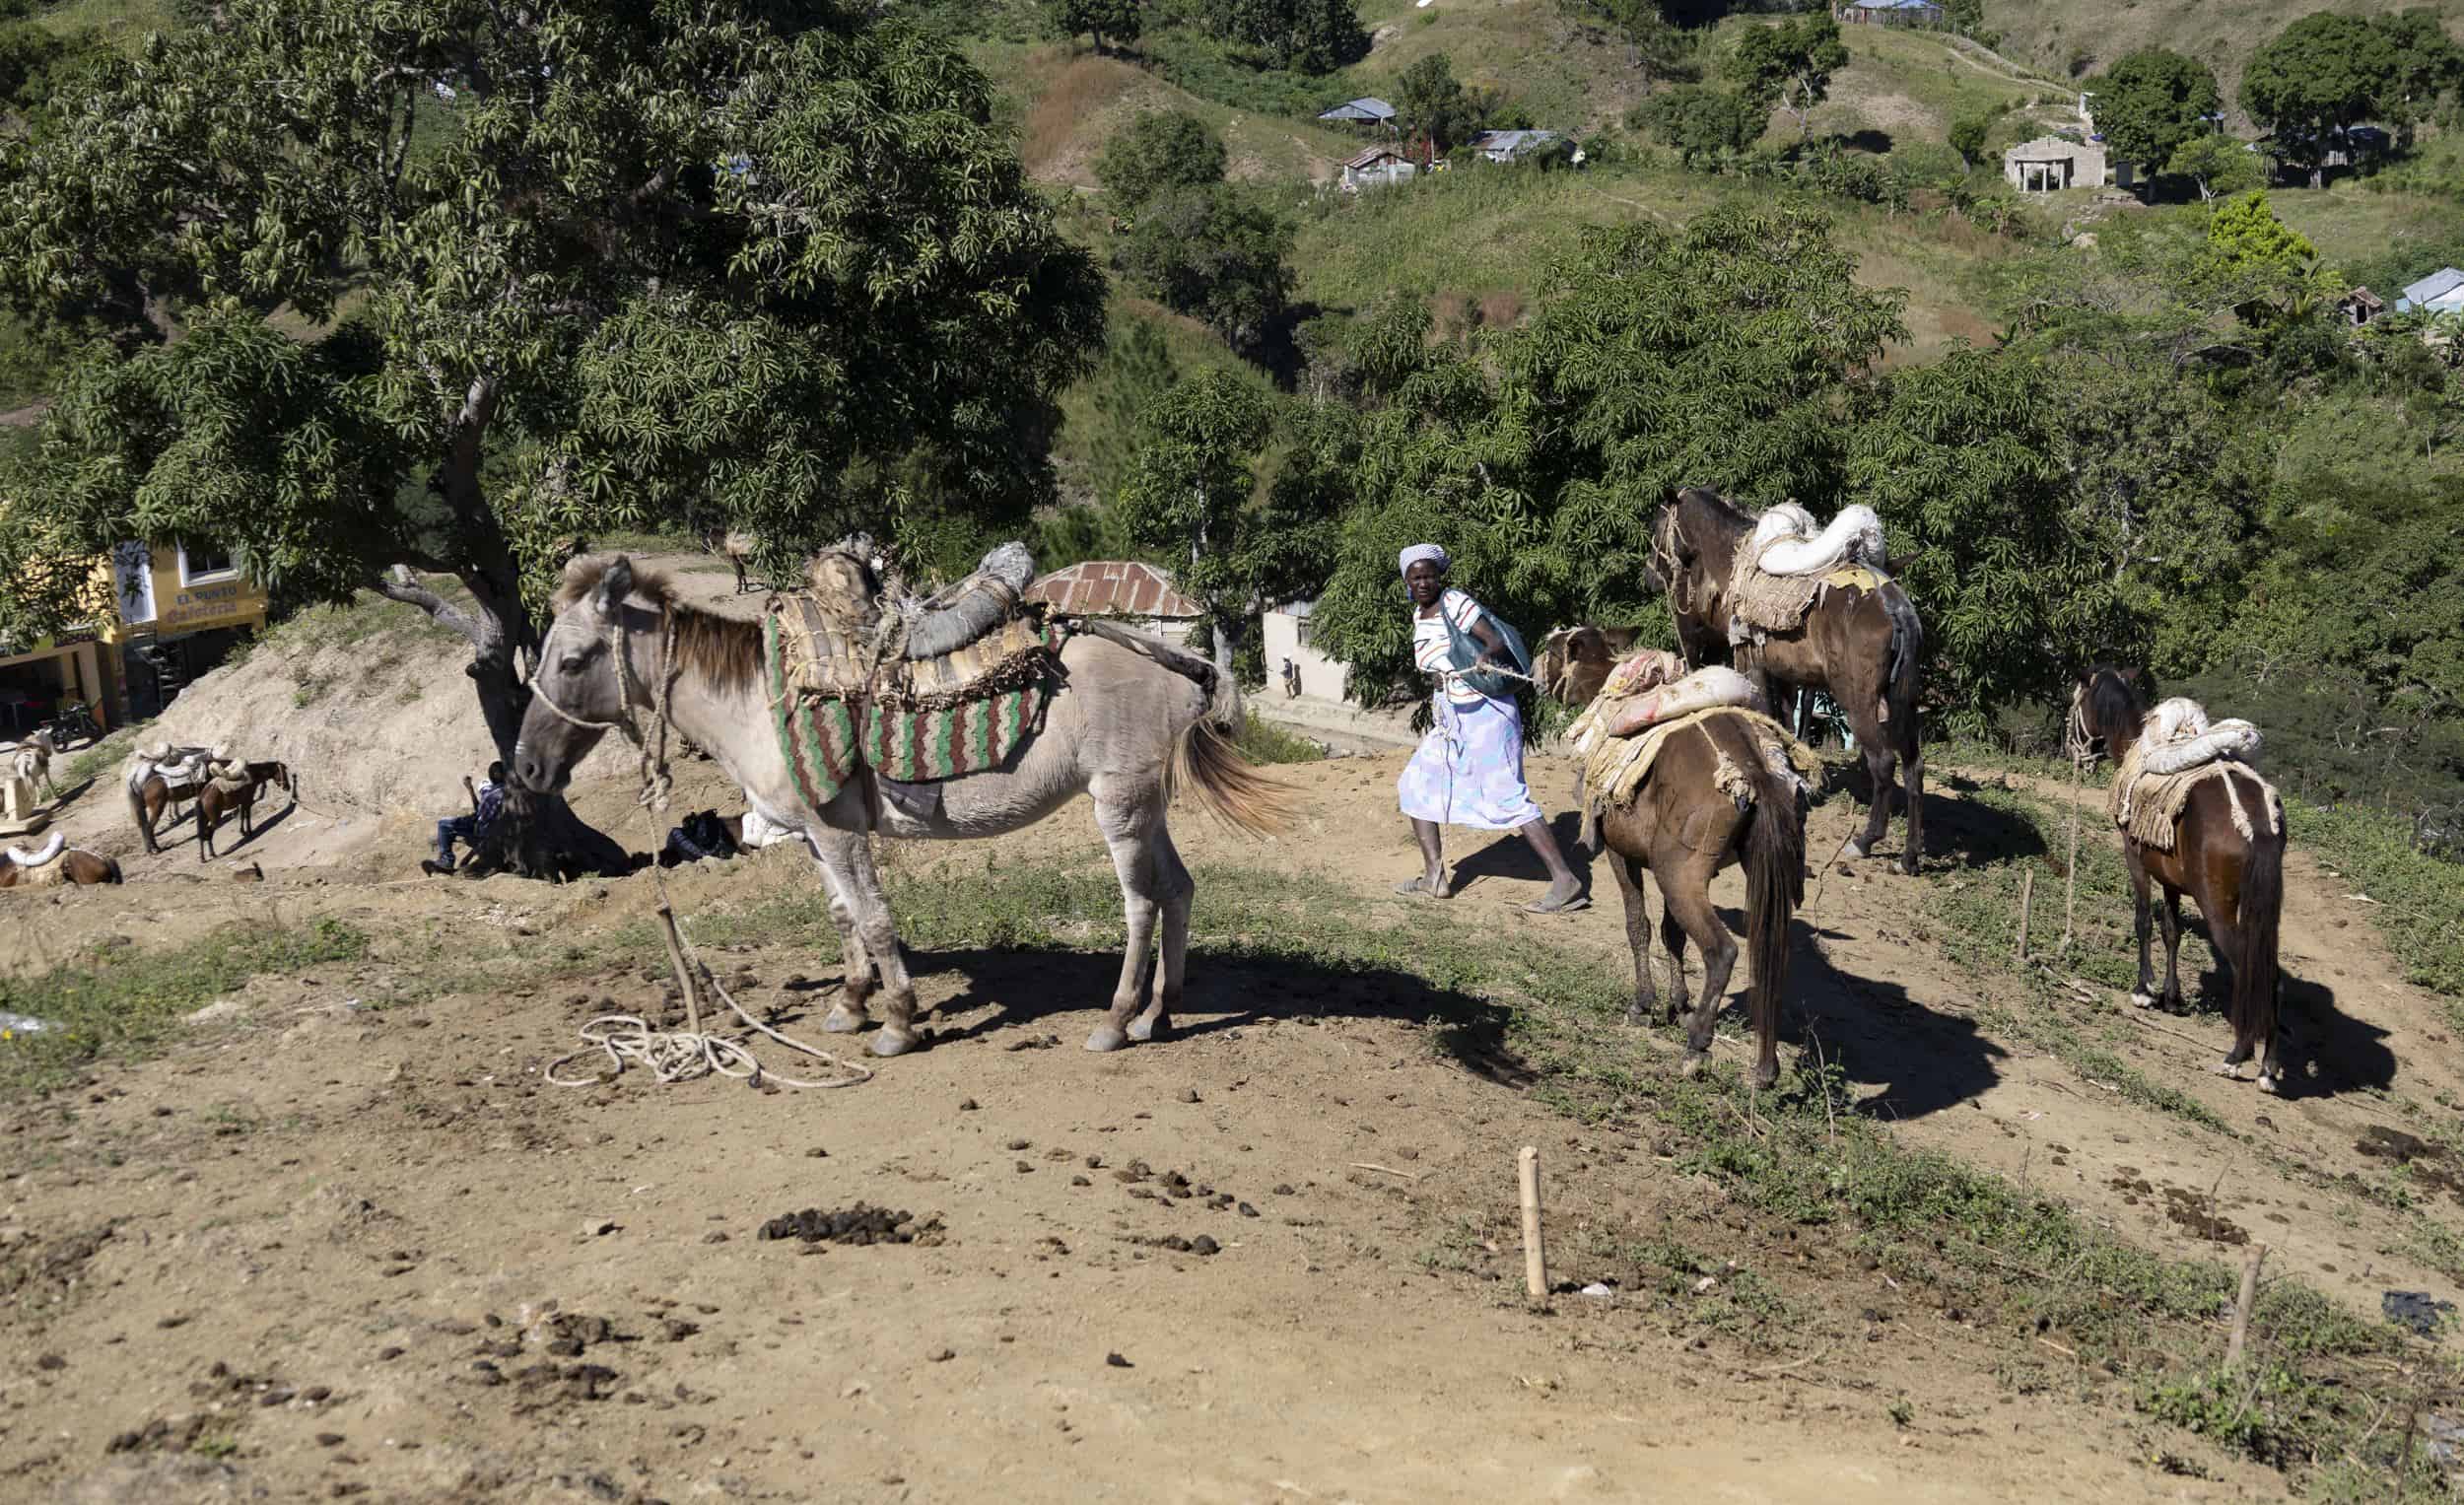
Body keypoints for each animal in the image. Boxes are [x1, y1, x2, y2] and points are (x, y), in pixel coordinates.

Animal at [1597, 714, 1814, 1088]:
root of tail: (1755, 770)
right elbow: (1673, 933)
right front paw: (1679, 1005)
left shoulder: (1619, 850)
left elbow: (1639, 925)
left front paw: (1644, 1005)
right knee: (1770, 957)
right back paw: (1765, 1070)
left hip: (1676, 874)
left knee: (1721, 951)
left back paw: (1698, 1046)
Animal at [1656, 487, 1922, 876]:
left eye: (1660, 524)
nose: (1652, 574)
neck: (1735, 561)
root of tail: (1894, 607)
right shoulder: (1784, 677)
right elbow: (1783, 721)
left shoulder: (1753, 666)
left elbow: (1768, 717)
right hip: (1904, 701)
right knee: (1914, 766)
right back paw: (1910, 856)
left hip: (1859, 702)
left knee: (1884, 763)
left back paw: (1865, 841)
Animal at [2070, 674, 2277, 1093]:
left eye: (2077, 699)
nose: (2071, 747)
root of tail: (2257, 824)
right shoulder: (2171, 879)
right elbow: (2172, 931)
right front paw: (2171, 995)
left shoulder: (2136, 860)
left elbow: (2144, 921)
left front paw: (2144, 991)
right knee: (2272, 972)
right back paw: (2268, 1067)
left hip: (2217, 906)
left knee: (2246, 964)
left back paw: (2238, 1055)